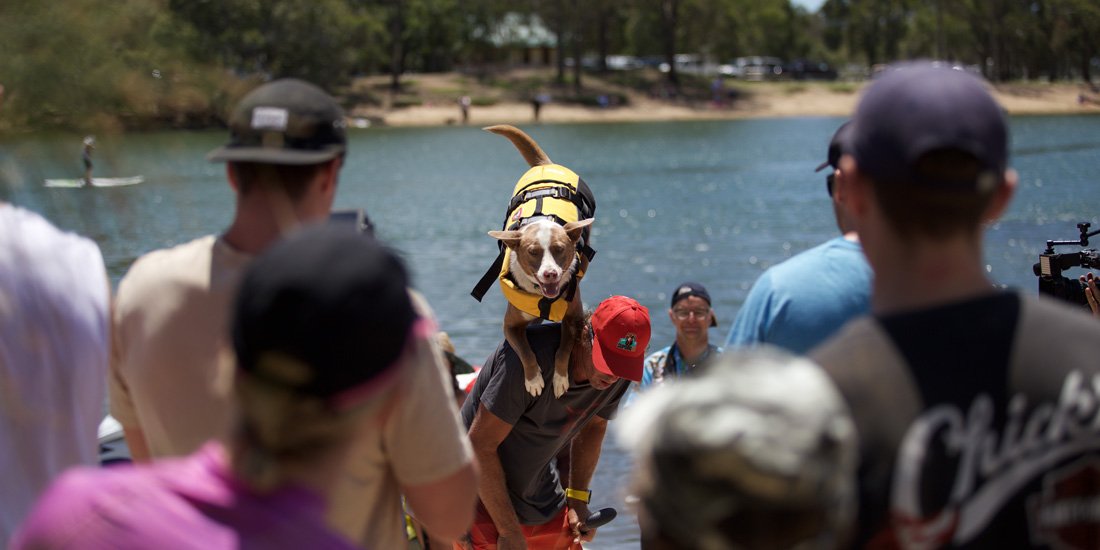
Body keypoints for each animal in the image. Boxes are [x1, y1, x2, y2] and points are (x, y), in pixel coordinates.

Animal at [481, 125, 594, 398]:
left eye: (559, 249)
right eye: (533, 252)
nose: (550, 274)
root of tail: (545, 165)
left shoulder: (573, 319)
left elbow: (564, 349)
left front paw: (560, 378)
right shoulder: (510, 326)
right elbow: (524, 350)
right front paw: (533, 380)